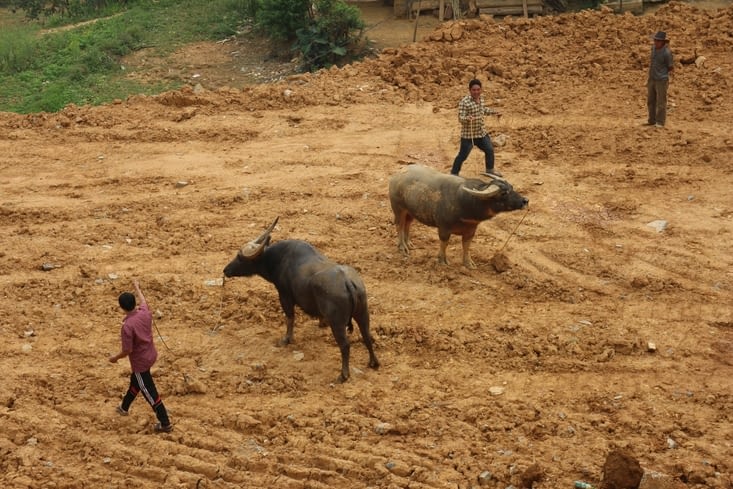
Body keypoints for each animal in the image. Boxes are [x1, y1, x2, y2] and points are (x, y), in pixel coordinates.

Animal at [222, 216, 378, 382]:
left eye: (240, 258)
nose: (226, 270)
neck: (276, 259)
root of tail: (347, 282)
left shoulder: (284, 295)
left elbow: (290, 318)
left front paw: (286, 340)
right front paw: (321, 323)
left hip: (337, 323)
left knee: (345, 345)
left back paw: (343, 375)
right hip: (363, 313)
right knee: (367, 336)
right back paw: (373, 363)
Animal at [386, 166, 528, 268]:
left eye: (511, 187)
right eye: (504, 193)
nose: (525, 201)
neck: (464, 201)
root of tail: (396, 175)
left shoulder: (471, 230)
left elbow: (466, 246)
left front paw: (468, 263)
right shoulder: (443, 228)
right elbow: (444, 243)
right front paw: (442, 261)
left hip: (410, 212)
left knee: (407, 224)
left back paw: (409, 243)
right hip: (398, 209)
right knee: (399, 225)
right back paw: (402, 247)